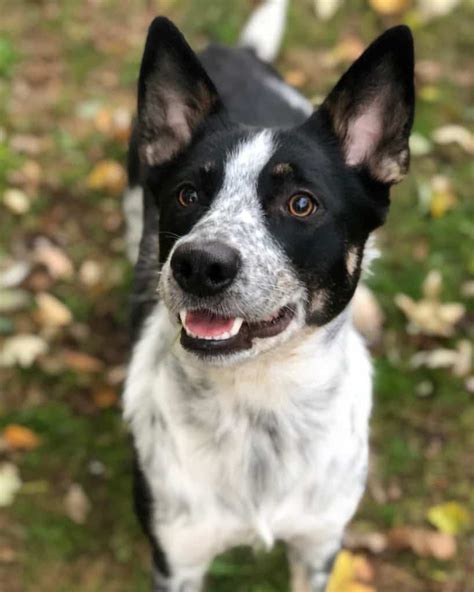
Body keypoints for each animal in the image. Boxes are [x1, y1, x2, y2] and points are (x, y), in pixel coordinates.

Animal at [123, 2, 414, 588]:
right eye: (187, 194)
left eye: (301, 204)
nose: (198, 264)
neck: (258, 406)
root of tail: (236, 51)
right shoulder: (176, 557)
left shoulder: (318, 545)